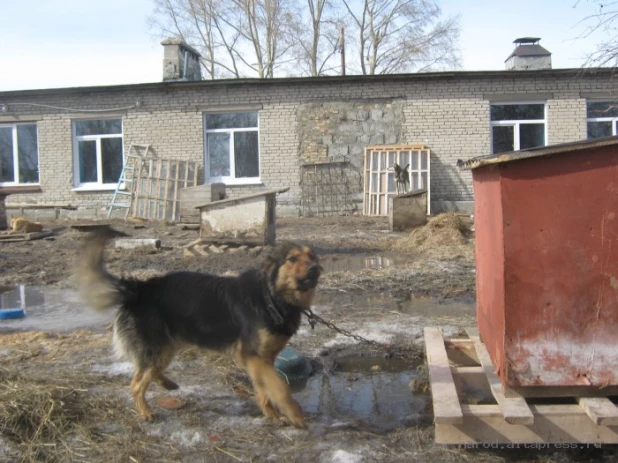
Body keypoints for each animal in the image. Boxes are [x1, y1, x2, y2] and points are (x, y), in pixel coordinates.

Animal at [77, 230, 320, 430]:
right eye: (292, 259)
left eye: (312, 257)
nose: (315, 268)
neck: (270, 296)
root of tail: (141, 287)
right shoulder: (252, 356)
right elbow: (280, 388)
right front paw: (294, 414)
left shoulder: (262, 360)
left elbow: (265, 389)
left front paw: (272, 415)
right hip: (158, 346)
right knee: (137, 384)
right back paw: (146, 412)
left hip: (166, 347)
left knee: (147, 371)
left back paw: (168, 384)